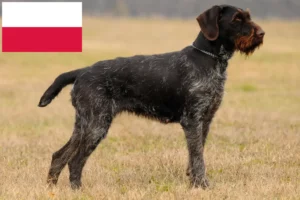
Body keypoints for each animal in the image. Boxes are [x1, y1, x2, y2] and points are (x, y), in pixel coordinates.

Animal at [38, 4, 264, 189]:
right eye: (236, 19)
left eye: (248, 16)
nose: (262, 33)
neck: (209, 59)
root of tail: (82, 71)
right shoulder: (192, 120)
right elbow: (198, 158)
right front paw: (202, 185)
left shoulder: (206, 120)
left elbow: (195, 156)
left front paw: (194, 183)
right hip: (97, 125)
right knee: (75, 161)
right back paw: (77, 190)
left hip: (84, 124)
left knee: (59, 156)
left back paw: (51, 189)